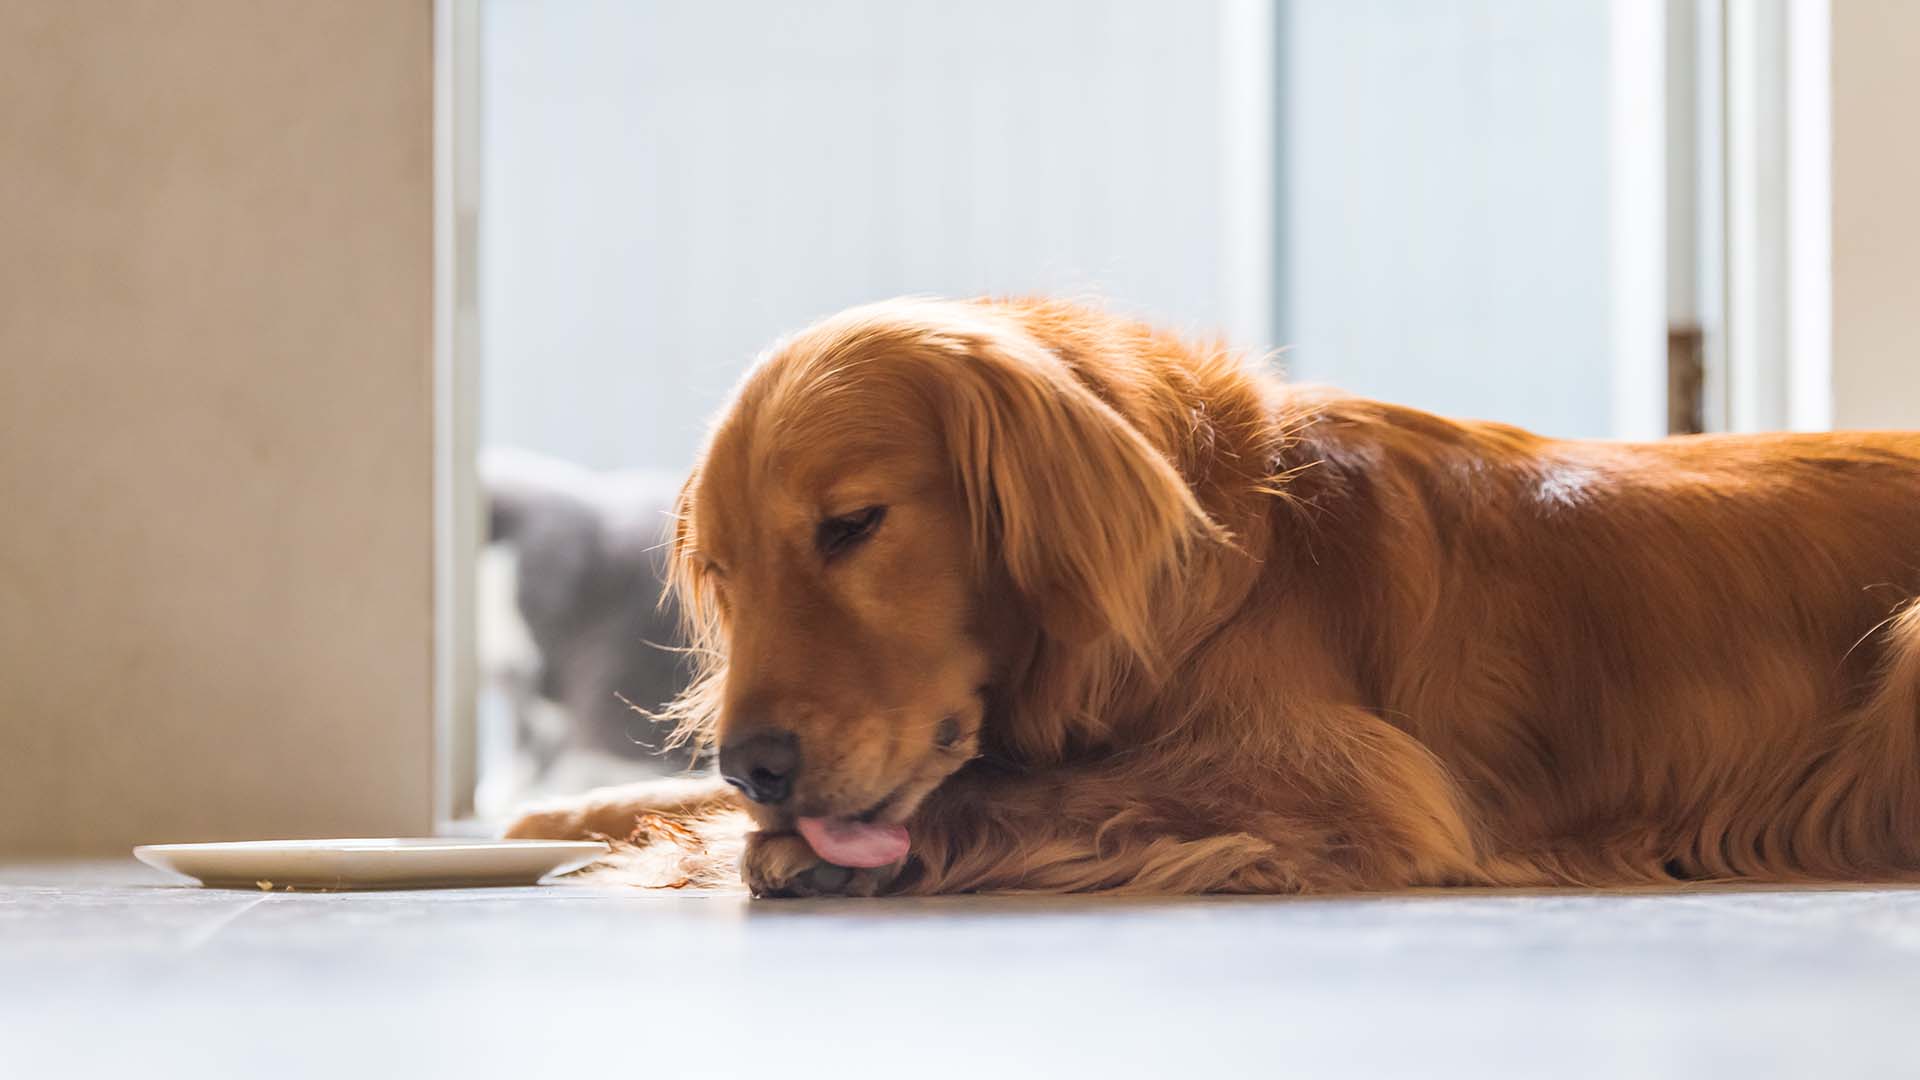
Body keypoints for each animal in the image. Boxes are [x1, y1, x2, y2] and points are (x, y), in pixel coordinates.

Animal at [506, 294, 1920, 891]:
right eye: (723, 571)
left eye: (852, 526)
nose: (758, 763)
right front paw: (572, 815)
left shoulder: (1353, 778)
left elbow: (1051, 789)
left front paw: (778, 849)